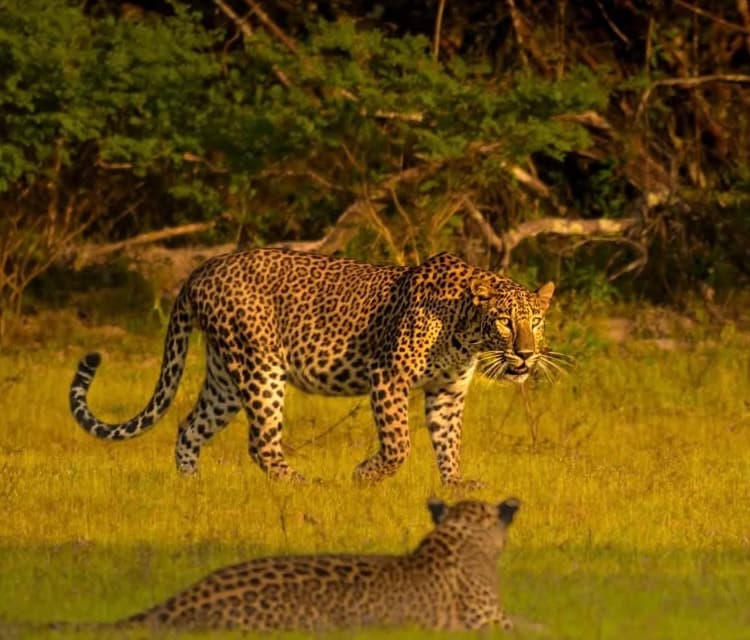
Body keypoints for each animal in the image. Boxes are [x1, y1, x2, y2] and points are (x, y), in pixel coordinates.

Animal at [69, 248, 555, 484]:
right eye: (505, 322)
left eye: (535, 322)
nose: (527, 354)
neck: (464, 329)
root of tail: (201, 270)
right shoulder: (388, 377)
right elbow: (399, 444)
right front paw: (364, 476)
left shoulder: (448, 390)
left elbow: (448, 441)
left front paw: (456, 485)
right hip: (260, 367)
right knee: (261, 444)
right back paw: (302, 484)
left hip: (225, 378)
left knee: (189, 427)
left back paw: (191, 486)